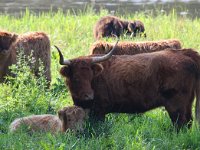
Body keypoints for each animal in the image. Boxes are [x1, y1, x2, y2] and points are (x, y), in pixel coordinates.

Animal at [55, 40, 200, 129]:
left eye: (91, 76)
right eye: (76, 77)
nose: (89, 96)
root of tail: (184, 52)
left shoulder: (99, 111)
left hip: (176, 104)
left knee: (181, 124)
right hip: (187, 103)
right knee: (188, 122)